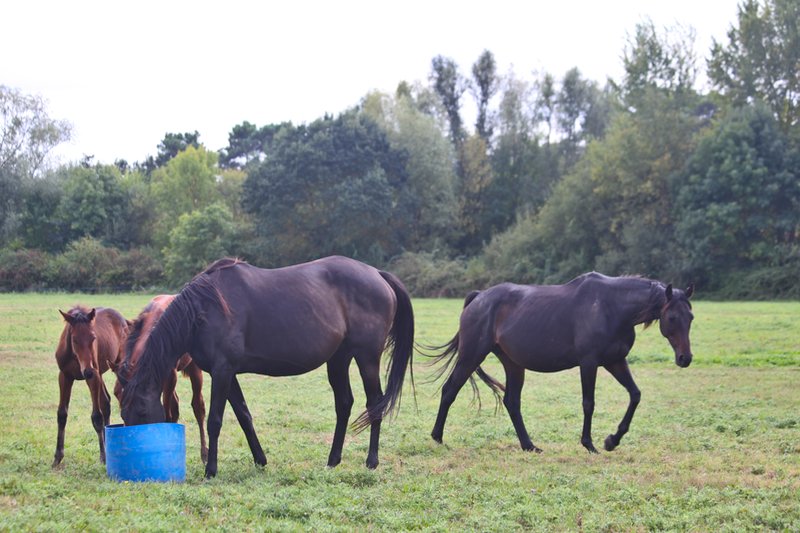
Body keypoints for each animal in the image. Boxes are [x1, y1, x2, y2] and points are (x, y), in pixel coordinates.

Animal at [53, 306, 130, 467]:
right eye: (74, 339)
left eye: (93, 337)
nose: (87, 371)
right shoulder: (65, 376)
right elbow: (62, 414)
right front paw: (57, 457)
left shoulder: (93, 377)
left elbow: (96, 417)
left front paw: (104, 457)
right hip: (100, 372)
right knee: (106, 402)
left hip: (114, 367)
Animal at [115, 295, 208, 464]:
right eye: (123, 414)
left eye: (143, 412)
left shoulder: (170, 375)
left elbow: (168, 413)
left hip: (193, 368)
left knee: (198, 406)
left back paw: (204, 454)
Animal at [429, 272, 694, 454]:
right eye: (672, 317)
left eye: (691, 317)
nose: (685, 358)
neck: (612, 308)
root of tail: (478, 298)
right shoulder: (589, 363)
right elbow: (588, 403)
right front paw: (589, 444)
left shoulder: (616, 361)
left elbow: (635, 395)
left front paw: (612, 440)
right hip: (471, 355)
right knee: (450, 390)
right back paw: (437, 437)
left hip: (513, 364)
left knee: (512, 402)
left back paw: (529, 445)